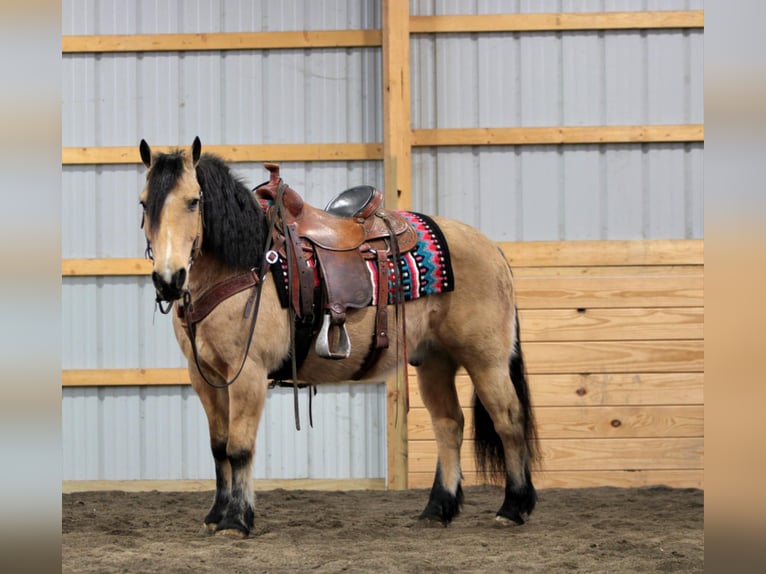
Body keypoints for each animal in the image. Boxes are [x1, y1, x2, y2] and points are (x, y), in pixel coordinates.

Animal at [137, 137, 538, 538]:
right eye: (144, 203)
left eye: (193, 200)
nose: (168, 279)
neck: (245, 266)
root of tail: (491, 248)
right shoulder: (205, 376)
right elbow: (219, 447)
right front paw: (215, 515)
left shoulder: (248, 373)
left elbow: (239, 447)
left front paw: (237, 520)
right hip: (434, 360)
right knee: (449, 424)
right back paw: (438, 508)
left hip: (486, 360)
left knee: (509, 420)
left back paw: (513, 507)